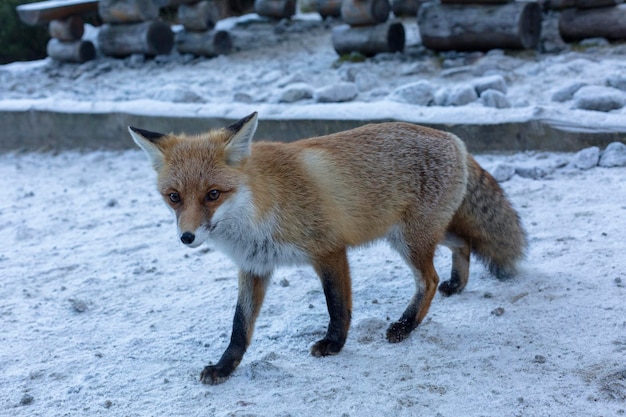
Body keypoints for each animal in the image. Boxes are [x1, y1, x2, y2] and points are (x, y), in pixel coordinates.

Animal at [129, 113, 524, 384]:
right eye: (174, 197)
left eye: (213, 194)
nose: (187, 237)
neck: (259, 209)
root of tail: (453, 138)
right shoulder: (254, 266)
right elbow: (239, 326)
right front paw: (226, 366)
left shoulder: (329, 250)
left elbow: (338, 306)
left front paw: (334, 345)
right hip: (418, 234)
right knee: (465, 242)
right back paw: (457, 284)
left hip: (409, 240)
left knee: (428, 279)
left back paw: (405, 325)